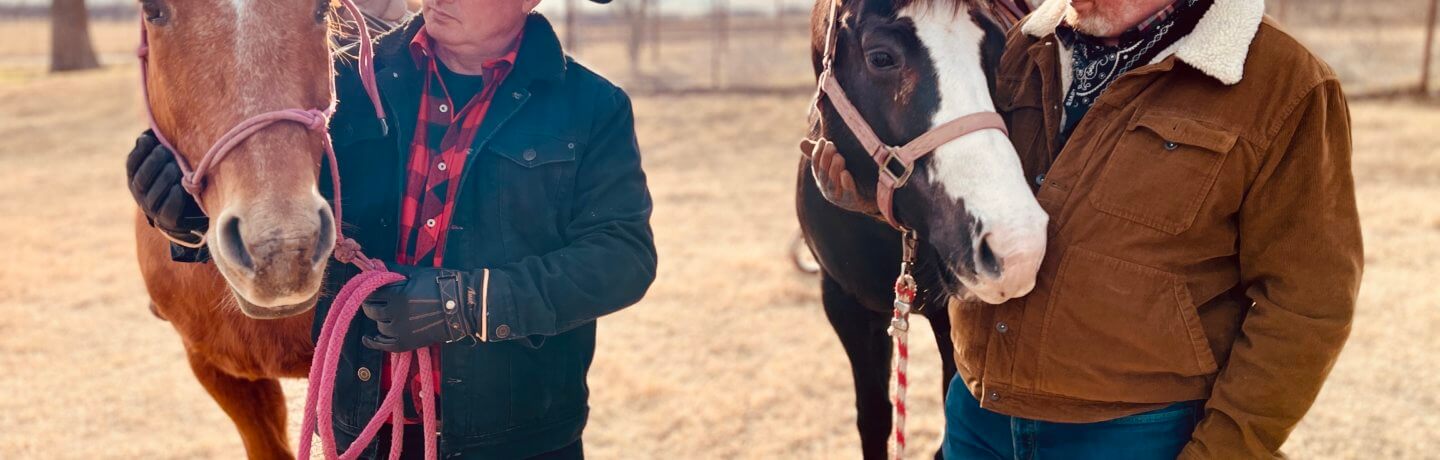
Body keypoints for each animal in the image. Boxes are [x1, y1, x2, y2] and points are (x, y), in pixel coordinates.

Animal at [794, 0, 1042, 458]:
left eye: (997, 51)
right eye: (881, 58)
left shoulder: (953, 326)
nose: (1018, 248)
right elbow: (874, 418)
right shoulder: (843, 303)